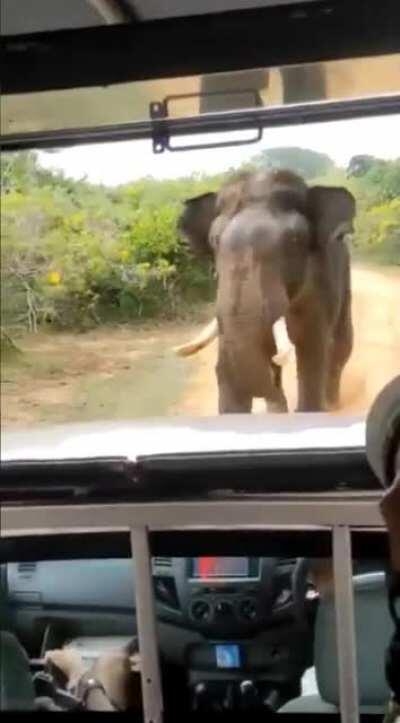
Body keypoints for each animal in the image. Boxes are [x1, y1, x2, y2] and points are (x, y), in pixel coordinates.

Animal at [175, 168, 356, 414]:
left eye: (294, 240)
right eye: (214, 241)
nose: (276, 394)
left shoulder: (321, 284)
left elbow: (312, 354)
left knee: (341, 345)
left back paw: (332, 405)